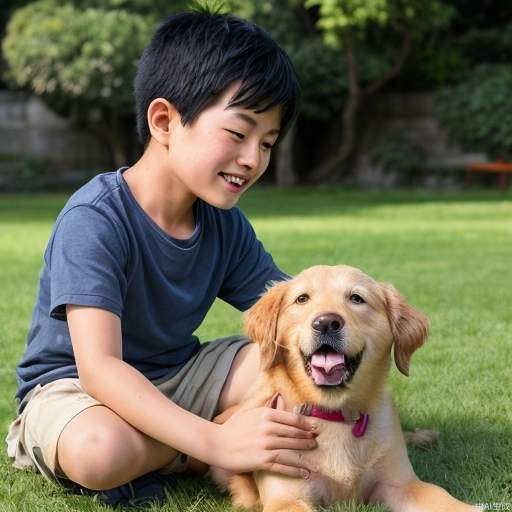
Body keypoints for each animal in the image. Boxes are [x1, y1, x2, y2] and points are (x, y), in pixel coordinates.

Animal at [211, 266, 480, 510]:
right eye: (302, 299)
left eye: (356, 298)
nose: (326, 323)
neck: (334, 415)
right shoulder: (287, 499)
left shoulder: (401, 485)